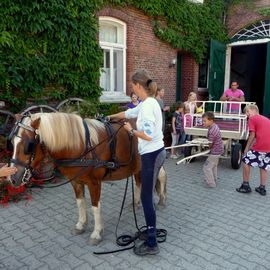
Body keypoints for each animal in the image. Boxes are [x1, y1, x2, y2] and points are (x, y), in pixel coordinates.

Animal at [7, 112, 167, 245]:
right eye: (11, 143)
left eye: (28, 146)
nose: (13, 177)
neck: (82, 145)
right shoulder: (76, 181)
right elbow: (80, 202)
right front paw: (81, 225)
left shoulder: (94, 183)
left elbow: (95, 207)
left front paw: (97, 233)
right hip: (137, 166)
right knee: (139, 182)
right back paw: (136, 203)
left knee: (160, 176)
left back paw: (161, 200)